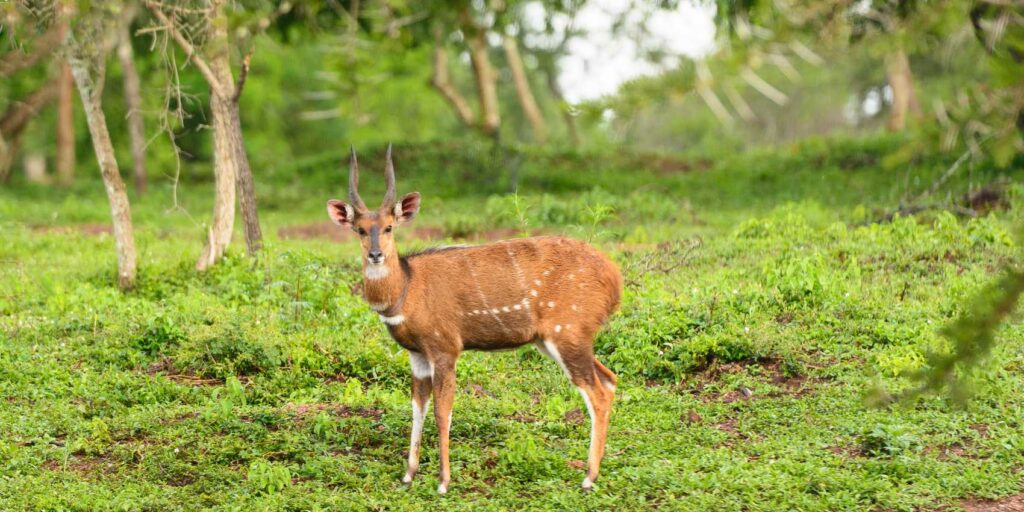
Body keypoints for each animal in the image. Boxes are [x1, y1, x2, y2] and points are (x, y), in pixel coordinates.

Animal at [323, 146, 618, 493]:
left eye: (389, 227)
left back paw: (588, 478)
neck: (407, 290)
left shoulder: (445, 348)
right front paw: (408, 475)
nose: (375, 255)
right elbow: (417, 408)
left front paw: (443, 482)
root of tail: (614, 279)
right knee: (610, 379)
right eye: (359, 229)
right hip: (558, 340)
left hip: (567, 333)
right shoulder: (417, 354)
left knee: (597, 392)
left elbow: (443, 412)